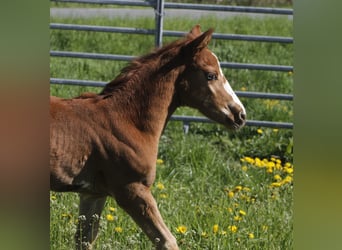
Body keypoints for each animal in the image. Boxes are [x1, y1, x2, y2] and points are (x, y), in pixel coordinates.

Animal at [50, 23, 246, 250]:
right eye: (210, 75)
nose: (240, 115)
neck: (127, 120)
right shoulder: (132, 190)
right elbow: (167, 241)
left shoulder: (93, 194)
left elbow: (85, 239)